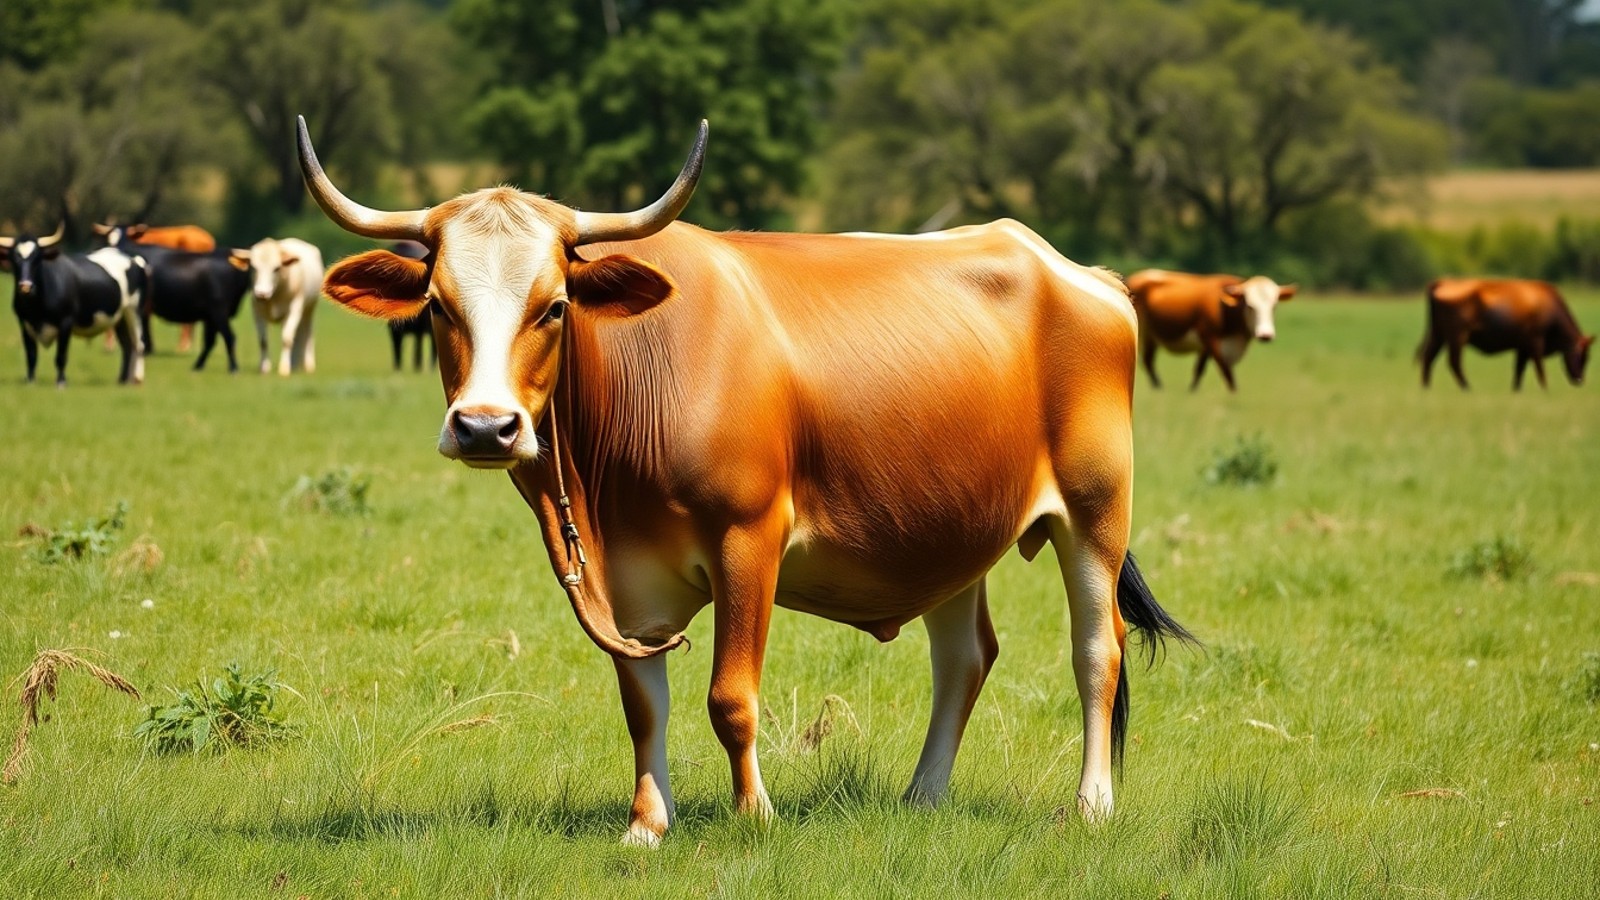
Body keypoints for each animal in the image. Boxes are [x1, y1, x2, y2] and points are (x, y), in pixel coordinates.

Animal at [3, 224, 146, 386]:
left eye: (37, 259)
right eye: (14, 259)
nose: (25, 286)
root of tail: (132, 259)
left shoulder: (66, 322)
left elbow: (61, 355)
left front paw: (61, 382)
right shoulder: (24, 323)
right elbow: (31, 355)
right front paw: (31, 382)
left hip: (134, 310)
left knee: (139, 344)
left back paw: (137, 378)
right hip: (119, 317)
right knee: (127, 346)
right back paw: (122, 380)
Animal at [247, 237, 323, 376]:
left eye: (276, 268)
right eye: (254, 267)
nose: (261, 293)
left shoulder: (294, 309)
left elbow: (286, 339)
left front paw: (284, 369)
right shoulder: (257, 311)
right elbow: (263, 340)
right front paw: (264, 368)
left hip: (309, 310)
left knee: (307, 334)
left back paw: (307, 366)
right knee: (298, 336)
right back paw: (294, 364)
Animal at [1125, 269, 1297, 392]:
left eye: (1274, 306)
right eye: (1250, 305)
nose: (1265, 335)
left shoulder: (1206, 347)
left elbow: (1200, 370)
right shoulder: (1212, 340)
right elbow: (1226, 373)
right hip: (1146, 333)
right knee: (1148, 361)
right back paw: (1158, 387)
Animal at [1420, 278, 1593, 390]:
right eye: (1582, 355)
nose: (1580, 380)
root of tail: (1444, 282)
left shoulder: (1523, 348)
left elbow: (1519, 370)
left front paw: (1516, 389)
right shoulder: (1535, 342)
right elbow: (1539, 368)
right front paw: (1545, 388)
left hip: (1439, 335)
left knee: (1429, 357)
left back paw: (1426, 388)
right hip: (1457, 336)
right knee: (1454, 362)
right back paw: (1468, 388)